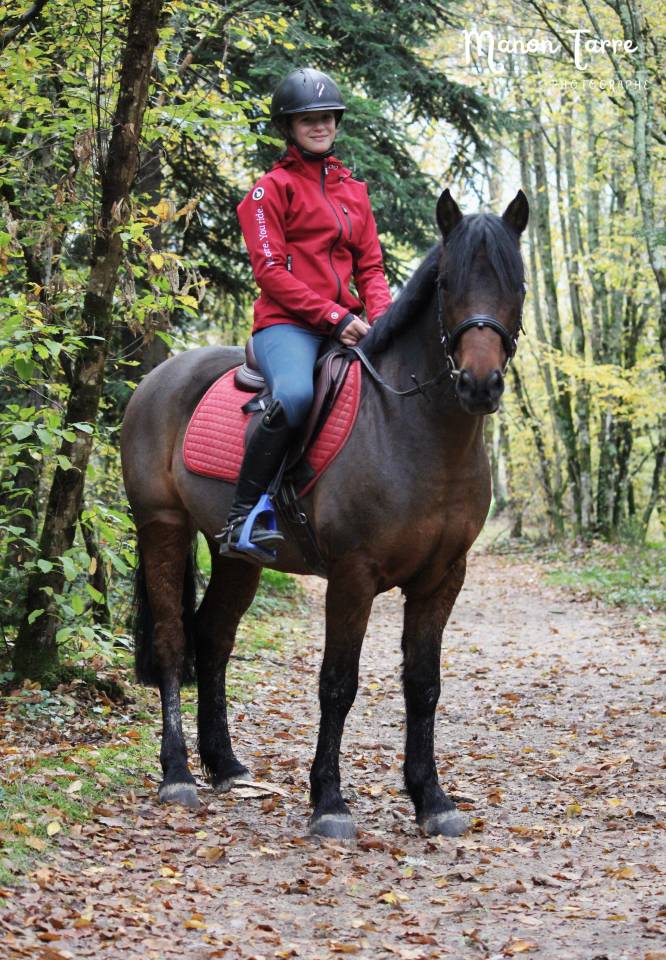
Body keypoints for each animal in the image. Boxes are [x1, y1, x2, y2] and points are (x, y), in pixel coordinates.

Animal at [120, 188, 528, 839]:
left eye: (517, 282)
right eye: (447, 283)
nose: (480, 384)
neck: (415, 429)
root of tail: (159, 377)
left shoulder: (443, 578)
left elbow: (424, 684)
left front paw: (432, 799)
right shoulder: (353, 576)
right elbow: (338, 684)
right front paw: (330, 802)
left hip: (235, 556)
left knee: (213, 637)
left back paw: (225, 765)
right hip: (162, 528)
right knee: (171, 641)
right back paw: (178, 774)